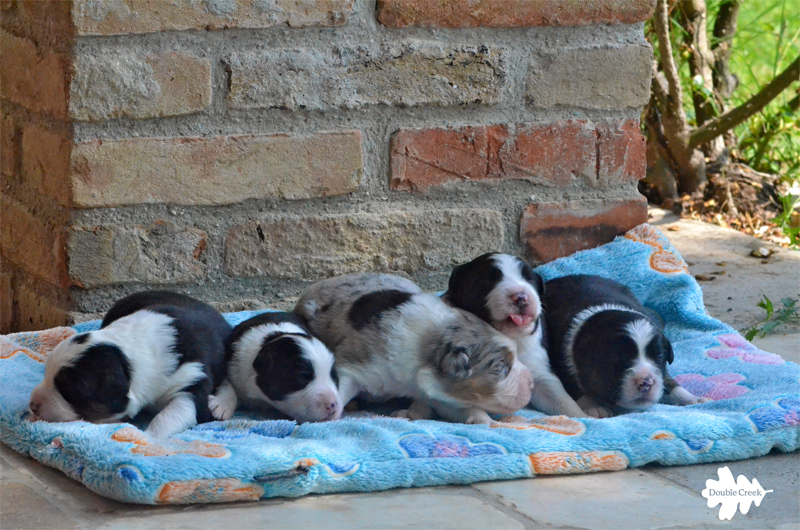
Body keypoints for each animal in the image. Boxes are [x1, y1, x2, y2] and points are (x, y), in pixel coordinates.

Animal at [28, 288, 231, 438]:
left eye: (69, 391)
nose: (32, 406)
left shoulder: (193, 378)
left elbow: (171, 415)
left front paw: (149, 438)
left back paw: (221, 405)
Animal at [294, 270, 532, 422]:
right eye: (501, 367)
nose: (531, 386)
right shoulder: (353, 364)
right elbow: (340, 389)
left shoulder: (437, 391)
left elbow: (457, 407)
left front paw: (489, 421)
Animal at [444, 252, 588, 416]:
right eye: (487, 281)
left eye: (530, 280)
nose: (521, 297)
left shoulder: (539, 371)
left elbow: (562, 401)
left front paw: (583, 417)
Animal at [544, 272, 708, 416]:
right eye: (618, 359)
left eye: (660, 358)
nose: (646, 382)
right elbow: (572, 385)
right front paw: (593, 406)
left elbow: (668, 380)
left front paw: (693, 399)